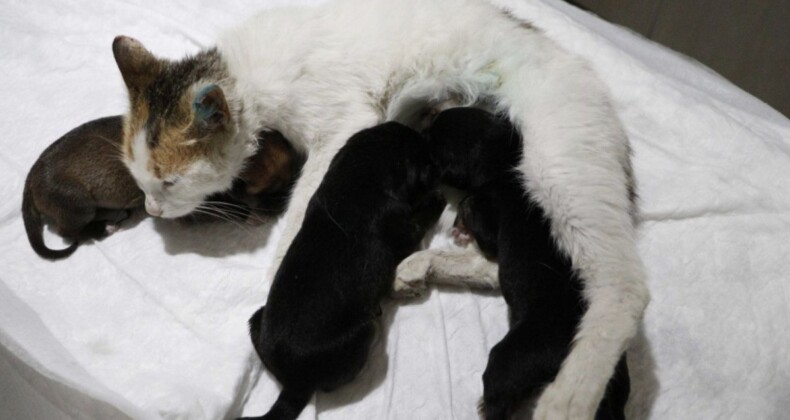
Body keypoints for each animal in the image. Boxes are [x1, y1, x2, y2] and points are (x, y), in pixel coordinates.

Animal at [244, 121, 446, 420]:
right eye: (426, 160)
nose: (439, 167)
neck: (360, 173)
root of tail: (295, 384)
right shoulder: (405, 227)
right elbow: (420, 218)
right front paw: (436, 199)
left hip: (257, 319)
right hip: (362, 333)